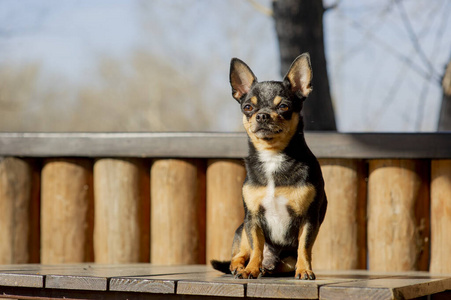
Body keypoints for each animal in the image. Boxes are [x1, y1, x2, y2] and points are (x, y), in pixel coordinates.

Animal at [212, 53, 328, 278]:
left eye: (283, 106)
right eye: (248, 107)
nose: (262, 115)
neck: (272, 156)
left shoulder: (308, 218)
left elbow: (304, 246)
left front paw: (304, 270)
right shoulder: (253, 218)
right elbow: (257, 245)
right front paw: (250, 269)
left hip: (285, 259)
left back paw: (266, 269)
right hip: (242, 229)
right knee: (239, 254)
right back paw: (242, 267)